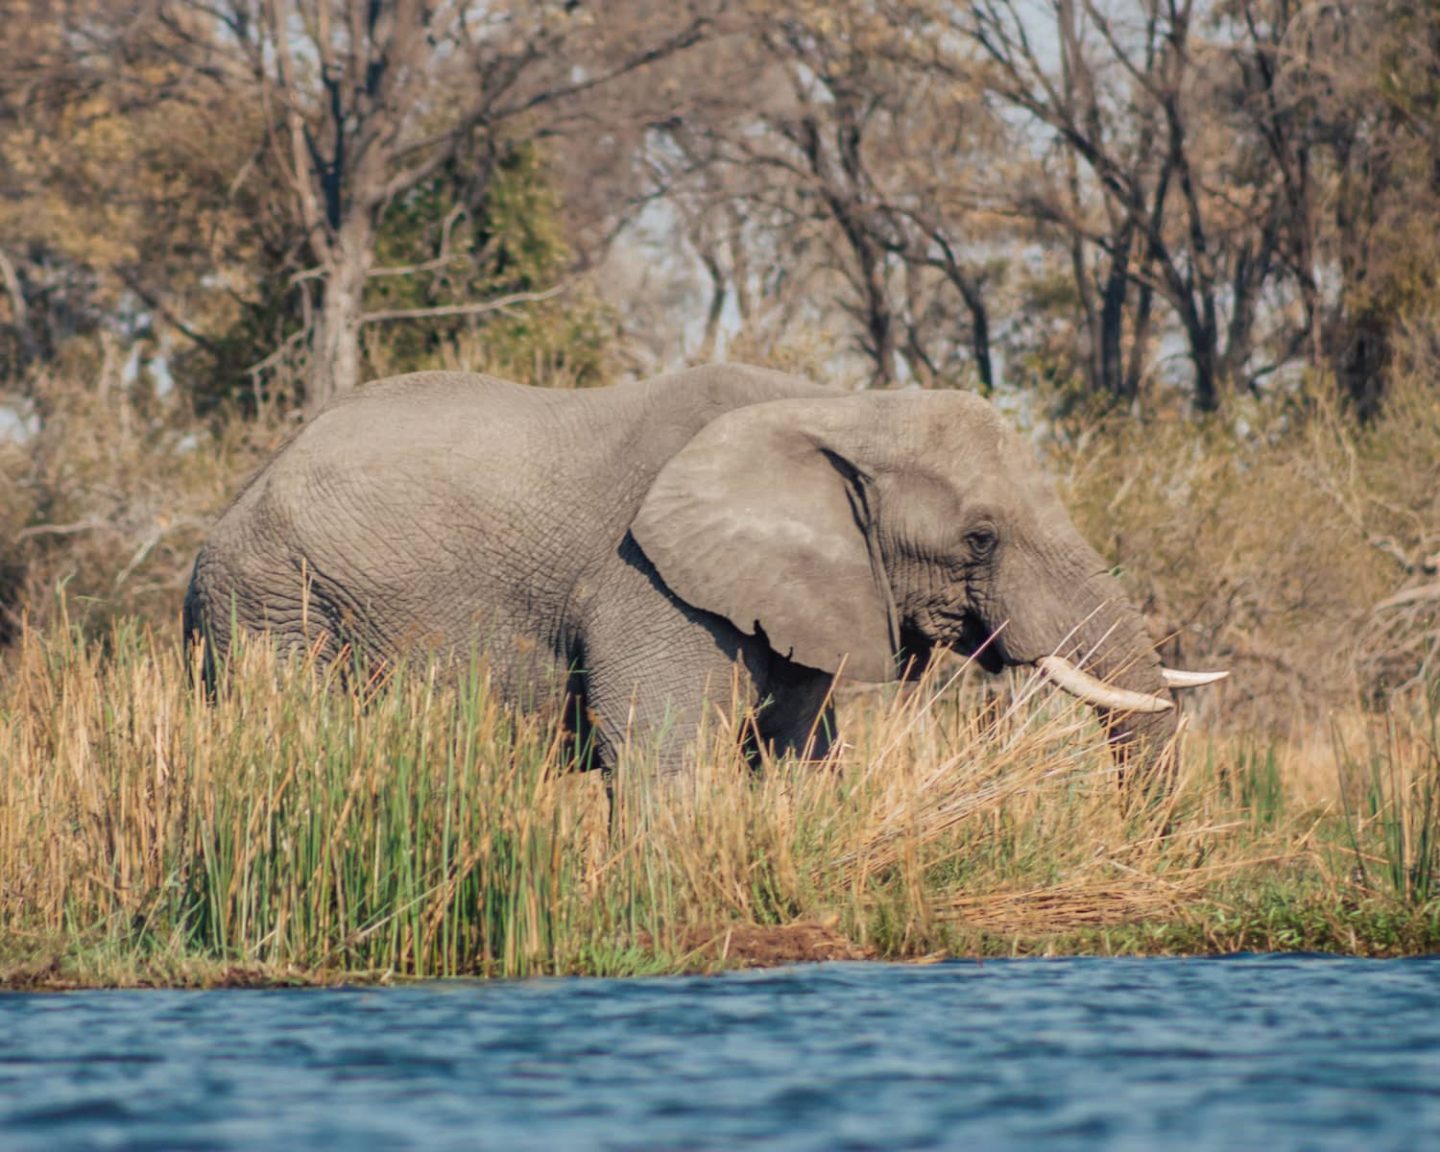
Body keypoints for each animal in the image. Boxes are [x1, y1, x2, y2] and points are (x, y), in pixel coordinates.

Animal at [185, 368, 1226, 794]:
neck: (838, 405)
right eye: (979, 536)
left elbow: (795, 762)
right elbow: (663, 762)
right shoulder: (650, 584)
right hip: (271, 608)